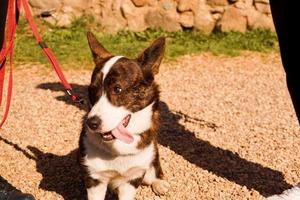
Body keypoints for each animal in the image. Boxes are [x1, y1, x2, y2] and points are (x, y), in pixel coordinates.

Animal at [78, 32, 170, 199]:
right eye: (92, 90)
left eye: (117, 89)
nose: (91, 123)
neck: (117, 149)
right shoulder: (94, 179)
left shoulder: (132, 179)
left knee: (152, 172)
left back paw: (159, 183)